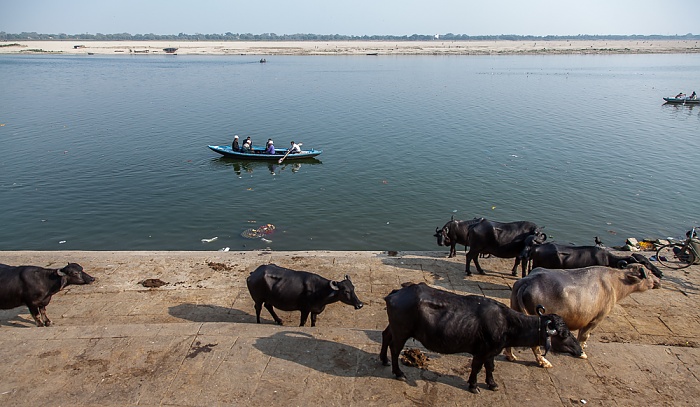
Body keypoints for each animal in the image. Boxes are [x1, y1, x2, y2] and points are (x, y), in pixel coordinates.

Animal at [380, 282, 581, 394]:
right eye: (564, 334)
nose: (579, 350)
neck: (507, 323)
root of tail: (396, 293)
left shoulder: (491, 352)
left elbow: (490, 367)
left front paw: (492, 384)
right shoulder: (481, 352)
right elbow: (476, 368)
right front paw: (473, 385)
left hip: (394, 328)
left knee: (385, 336)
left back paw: (383, 360)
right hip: (402, 332)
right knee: (395, 349)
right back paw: (398, 372)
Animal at [504, 264, 661, 368]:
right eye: (649, 272)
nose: (658, 280)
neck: (615, 283)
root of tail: (527, 282)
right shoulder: (596, 319)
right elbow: (584, 335)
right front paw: (582, 352)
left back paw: (511, 356)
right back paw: (544, 363)